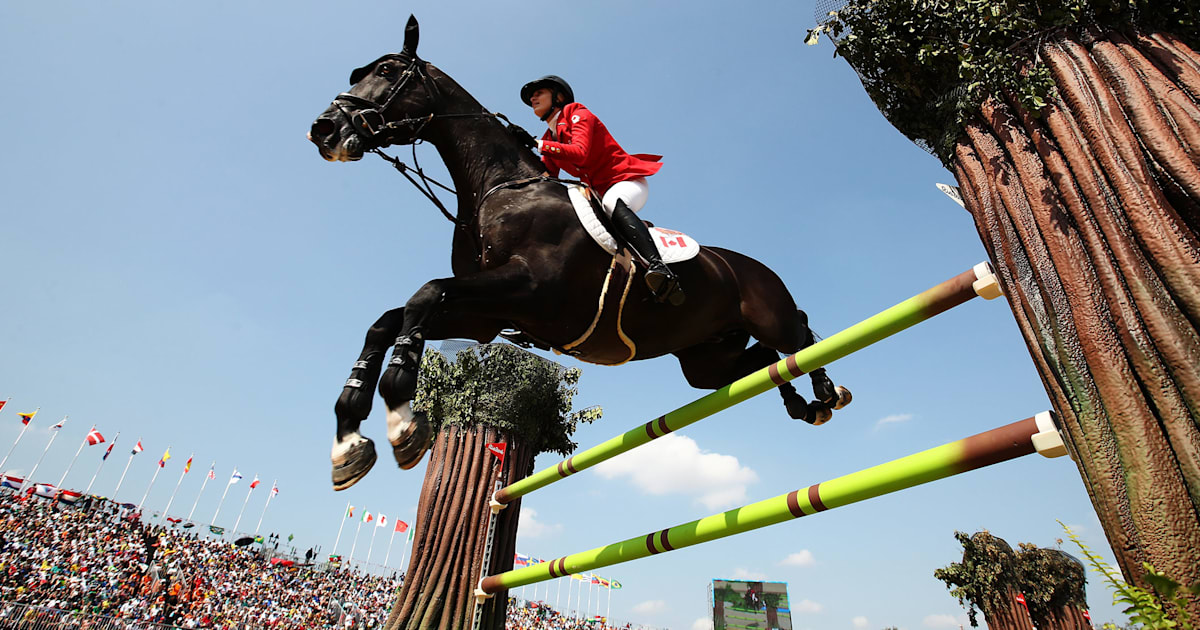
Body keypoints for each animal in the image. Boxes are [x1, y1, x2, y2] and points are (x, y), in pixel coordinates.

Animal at [309, 14, 854, 492]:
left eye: (385, 71)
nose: (323, 130)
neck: (500, 189)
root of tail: (750, 265)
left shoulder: (528, 289)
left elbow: (423, 295)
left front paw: (402, 417)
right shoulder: (485, 314)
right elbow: (389, 320)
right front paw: (349, 443)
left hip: (766, 314)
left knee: (797, 334)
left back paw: (826, 393)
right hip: (705, 360)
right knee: (762, 358)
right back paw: (801, 403)